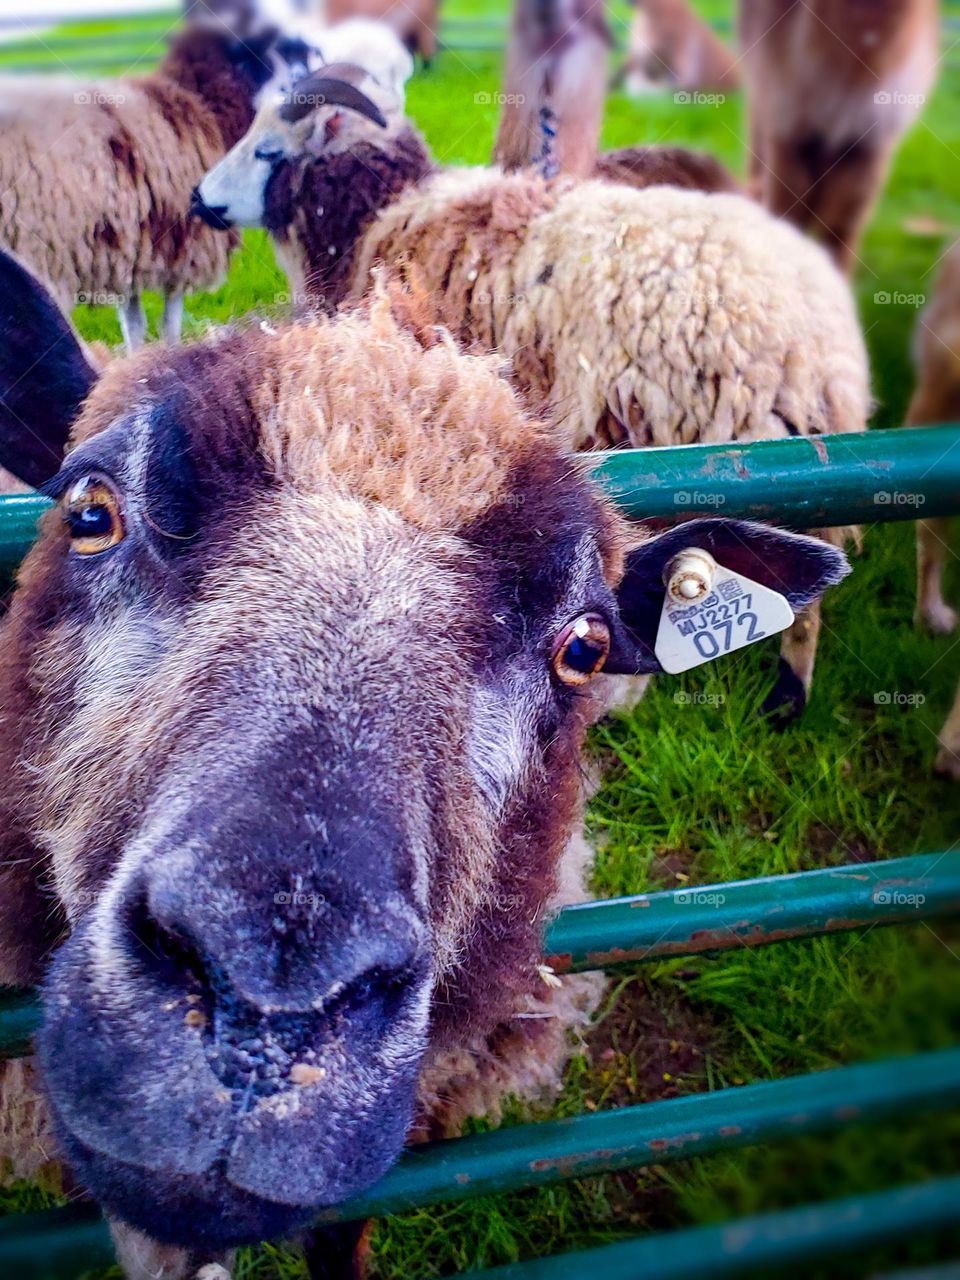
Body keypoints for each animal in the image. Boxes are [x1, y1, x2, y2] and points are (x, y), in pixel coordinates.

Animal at [0, 0, 324, 351]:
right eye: (279, 44)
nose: (314, 63)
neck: (200, 102)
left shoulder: (129, 242)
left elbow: (133, 322)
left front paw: (137, 355)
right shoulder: (183, 238)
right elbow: (169, 319)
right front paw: (169, 350)